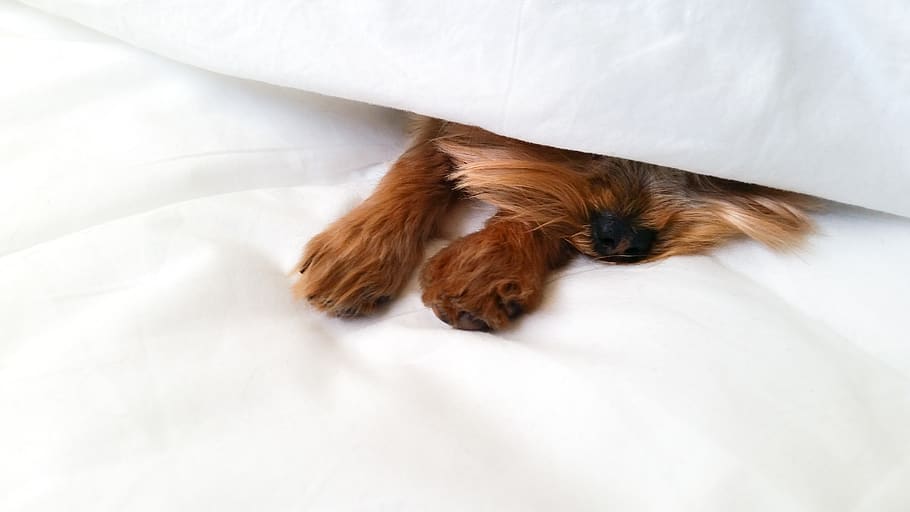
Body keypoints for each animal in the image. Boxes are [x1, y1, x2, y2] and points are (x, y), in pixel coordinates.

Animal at [290, 116, 812, 332]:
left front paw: (486, 265)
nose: (622, 239)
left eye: (719, 171)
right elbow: (426, 157)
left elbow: (538, 204)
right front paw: (361, 248)